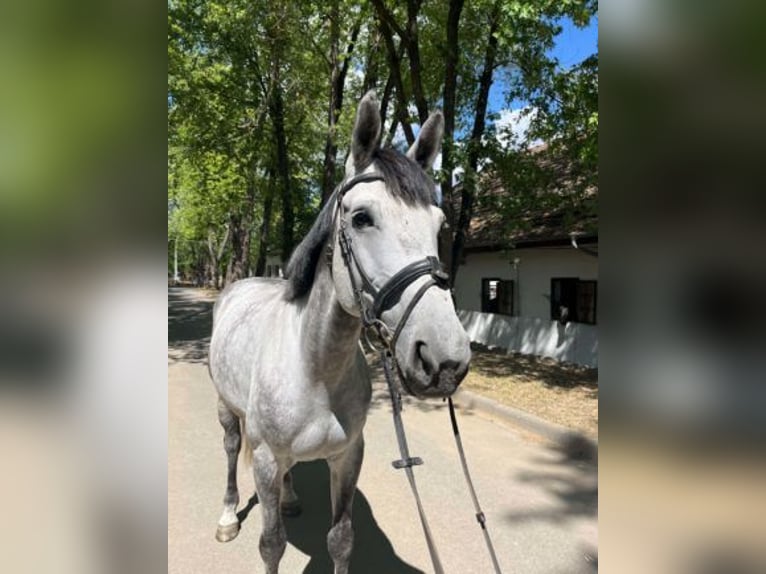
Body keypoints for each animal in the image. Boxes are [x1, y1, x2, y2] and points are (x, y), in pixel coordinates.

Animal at [208, 91, 472, 574]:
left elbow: (342, 539)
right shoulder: (266, 461)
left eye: (440, 225)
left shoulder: (348, 456)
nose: (445, 360)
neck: (314, 367)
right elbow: (271, 544)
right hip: (226, 409)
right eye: (362, 218)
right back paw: (227, 516)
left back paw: (291, 499)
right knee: (232, 449)